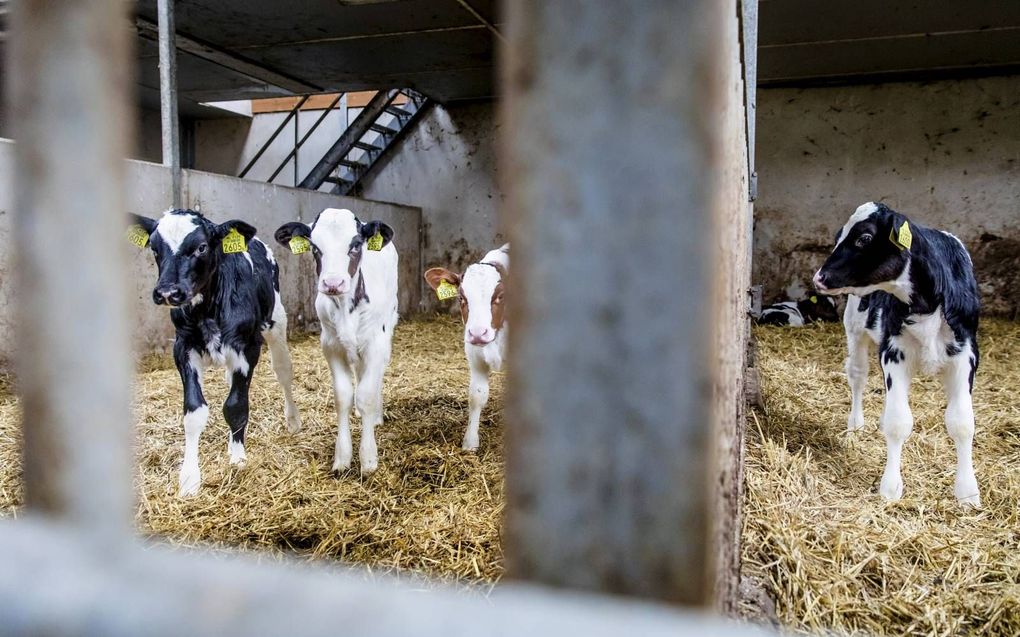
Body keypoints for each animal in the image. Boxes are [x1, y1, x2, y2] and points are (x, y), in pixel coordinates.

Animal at [129, 209, 299, 497]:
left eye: (201, 247)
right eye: (154, 247)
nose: (168, 292)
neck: (207, 310)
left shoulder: (248, 346)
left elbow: (236, 406)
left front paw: (238, 459)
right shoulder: (183, 348)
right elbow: (194, 412)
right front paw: (189, 479)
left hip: (277, 320)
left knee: (283, 371)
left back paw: (293, 420)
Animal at [811, 200, 979, 503]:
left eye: (864, 238)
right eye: (838, 236)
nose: (819, 277)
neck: (927, 301)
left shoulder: (966, 355)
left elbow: (962, 422)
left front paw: (967, 493)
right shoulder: (894, 352)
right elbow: (898, 422)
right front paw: (890, 488)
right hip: (854, 327)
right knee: (858, 376)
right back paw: (855, 424)